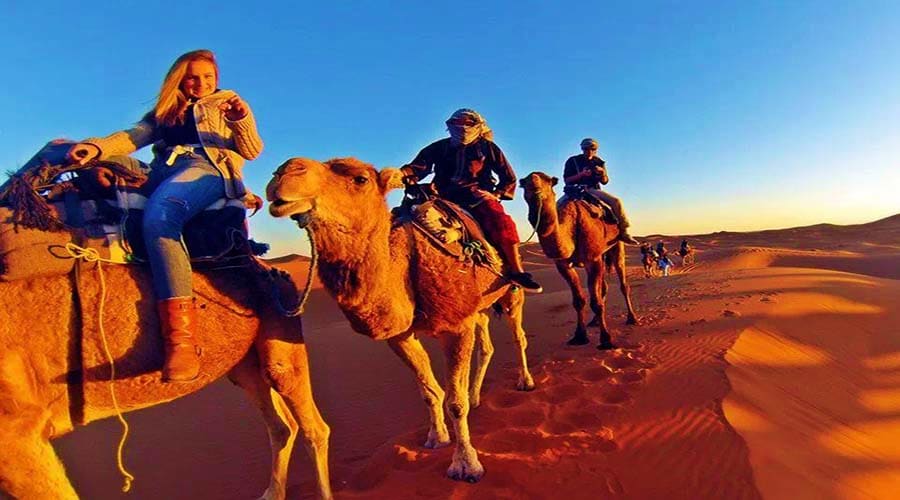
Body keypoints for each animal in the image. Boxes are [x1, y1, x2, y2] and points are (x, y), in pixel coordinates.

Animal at [0, 261, 332, 499]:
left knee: (311, 425)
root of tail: (273, 269)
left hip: (280, 333)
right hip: (244, 362)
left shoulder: (18, 437)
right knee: (281, 425)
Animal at [266, 157, 535, 483]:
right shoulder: (401, 335)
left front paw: (466, 464)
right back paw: (476, 396)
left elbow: (454, 402)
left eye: (360, 179)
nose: (285, 172)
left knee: (518, 335)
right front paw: (436, 437)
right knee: (486, 345)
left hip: (509, 292)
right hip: (479, 307)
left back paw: (525, 381)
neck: (406, 262)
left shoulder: (456, 326)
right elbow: (429, 391)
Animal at [519, 172, 639, 349]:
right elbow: (579, 300)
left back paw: (632, 318)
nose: (535, 188)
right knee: (603, 288)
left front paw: (606, 340)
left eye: (549, 181)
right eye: (523, 184)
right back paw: (595, 321)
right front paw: (579, 336)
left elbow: (595, 302)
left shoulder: (592, 260)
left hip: (617, 245)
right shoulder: (563, 265)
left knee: (623, 284)